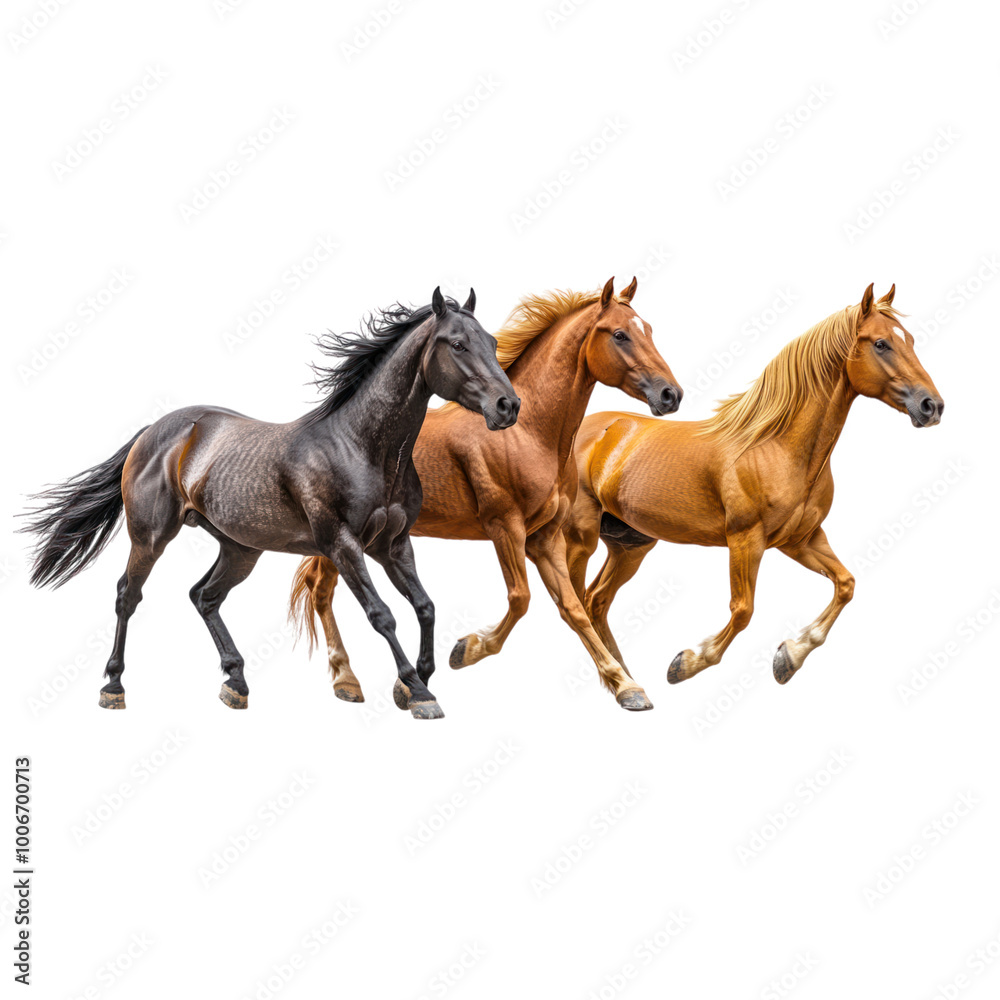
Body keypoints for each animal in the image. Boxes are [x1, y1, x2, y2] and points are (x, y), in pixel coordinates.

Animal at [24, 288, 519, 719]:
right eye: (458, 343)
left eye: (493, 342)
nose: (508, 406)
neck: (361, 447)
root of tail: (152, 432)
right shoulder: (343, 545)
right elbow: (383, 615)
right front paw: (417, 692)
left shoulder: (393, 545)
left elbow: (425, 606)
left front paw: (416, 682)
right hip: (150, 537)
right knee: (128, 595)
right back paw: (113, 688)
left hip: (241, 548)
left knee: (203, 596)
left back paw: (236, 684)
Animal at [289, 277, 682, 711]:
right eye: (619, 334)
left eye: (649, 329)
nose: (671, 395)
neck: (530, 434)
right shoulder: (504, 527)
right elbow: (521, 598)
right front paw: (463, 652)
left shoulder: (545, 537)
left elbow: (573, 608)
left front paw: (627, 686)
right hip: (345, 538)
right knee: (320, 589)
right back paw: (346, 680)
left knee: (320, 587)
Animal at [566, 284, 944, 687]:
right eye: (882, 344)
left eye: (910, 340)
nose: (932, 406)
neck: (776, 446)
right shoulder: (746, 540)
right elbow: (743, 610)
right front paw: (687, 663)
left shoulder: (800, 540)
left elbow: (846, 584)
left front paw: (789, 657)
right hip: (582, 536)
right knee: (576, 599)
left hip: (630, 545)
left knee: (596, 600)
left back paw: (626, 680)